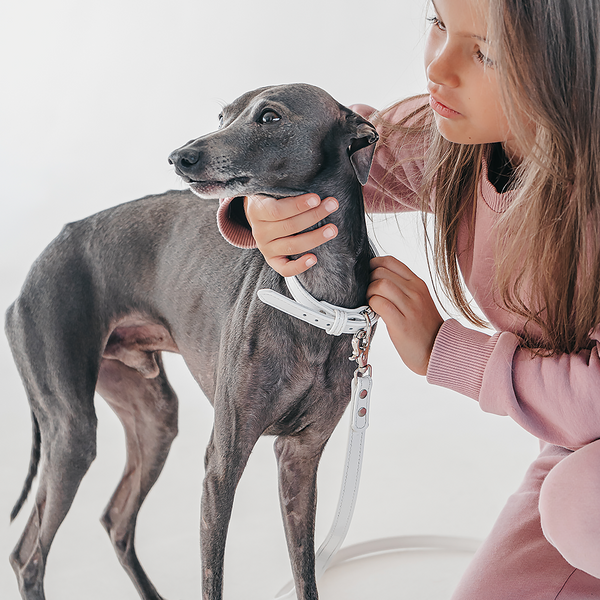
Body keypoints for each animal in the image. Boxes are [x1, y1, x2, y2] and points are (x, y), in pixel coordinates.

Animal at [7, 81, 378, 600]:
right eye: (222, 116)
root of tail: (28, 279)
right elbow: (212, 578)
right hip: (71, 429)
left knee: (113, 519)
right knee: (30, 555)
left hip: (154, 418)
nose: (179, 156)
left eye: (270, 117)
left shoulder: (300, 460)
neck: (313, 297)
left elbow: (306, 575)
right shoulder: (222, 462)